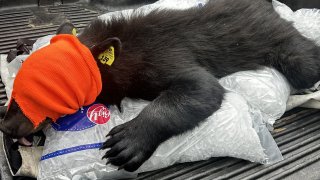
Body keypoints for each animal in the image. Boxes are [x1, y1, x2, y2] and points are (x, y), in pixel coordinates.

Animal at [0, 0, 320, 172]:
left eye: (45, 92)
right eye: (17, 89)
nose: (6, 127)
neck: (117, 58)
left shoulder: (161, 55)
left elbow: (201, 87)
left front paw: (128, 141)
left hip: (281, 42)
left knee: (305, 61)